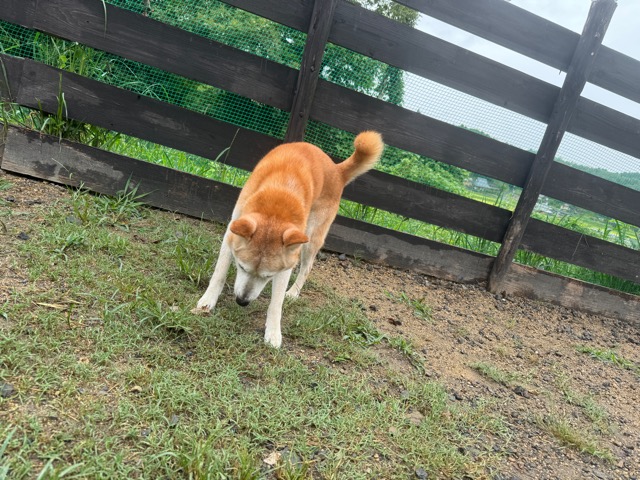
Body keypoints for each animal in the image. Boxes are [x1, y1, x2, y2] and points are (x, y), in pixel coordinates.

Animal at [194, 131, 384, 348]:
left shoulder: (286, 264)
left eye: (268, 277)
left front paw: (273, 332)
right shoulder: (231, 233)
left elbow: (276, 303)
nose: (242, 301)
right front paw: (208, 301)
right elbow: (219, 274)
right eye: (241, 267)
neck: (279, 197)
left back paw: (293, 293)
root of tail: (337, 170)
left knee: (307, 267)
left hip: (311, 238)